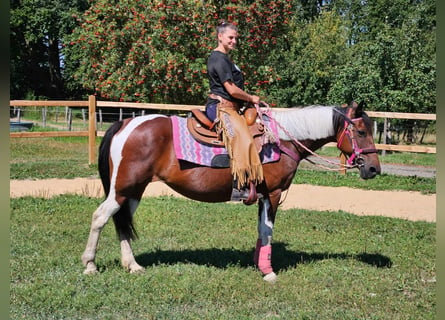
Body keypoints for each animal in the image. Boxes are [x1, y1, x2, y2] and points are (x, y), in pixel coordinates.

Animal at [81, 101, 380, 282]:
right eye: (361, 131)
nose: (374, 169)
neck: (282, 141)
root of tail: (126, 124)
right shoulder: (273, 194)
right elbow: (268, 231)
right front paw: (268, 272)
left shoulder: (262, 196)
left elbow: (261, 230)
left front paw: (259, 262)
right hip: (122, 189)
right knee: (99, 217)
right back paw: (90, 265)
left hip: (133, 191)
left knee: (121, 221)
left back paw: (132, 265)